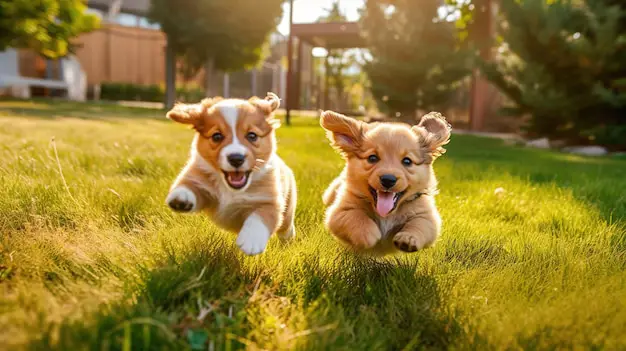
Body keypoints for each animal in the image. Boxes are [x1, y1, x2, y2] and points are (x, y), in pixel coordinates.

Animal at [163, 93, 294, 256]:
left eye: (252, 136)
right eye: (217, 136)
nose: (236, 158)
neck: (231, 190)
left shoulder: (270, 201)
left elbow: (260, 217)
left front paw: (251, 240)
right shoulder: (201, 184)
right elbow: (187, 185)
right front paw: (181, 197)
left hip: (288, 210)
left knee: (286, 227)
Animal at [322, 111, 448, 254]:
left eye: (407, 161)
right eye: (372, 158)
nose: (388, 179)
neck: (386, 215)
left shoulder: (428, 217)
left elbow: (419, 224)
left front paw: (408, 238)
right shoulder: (338, 212)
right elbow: (355, 216)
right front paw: (368, 234)